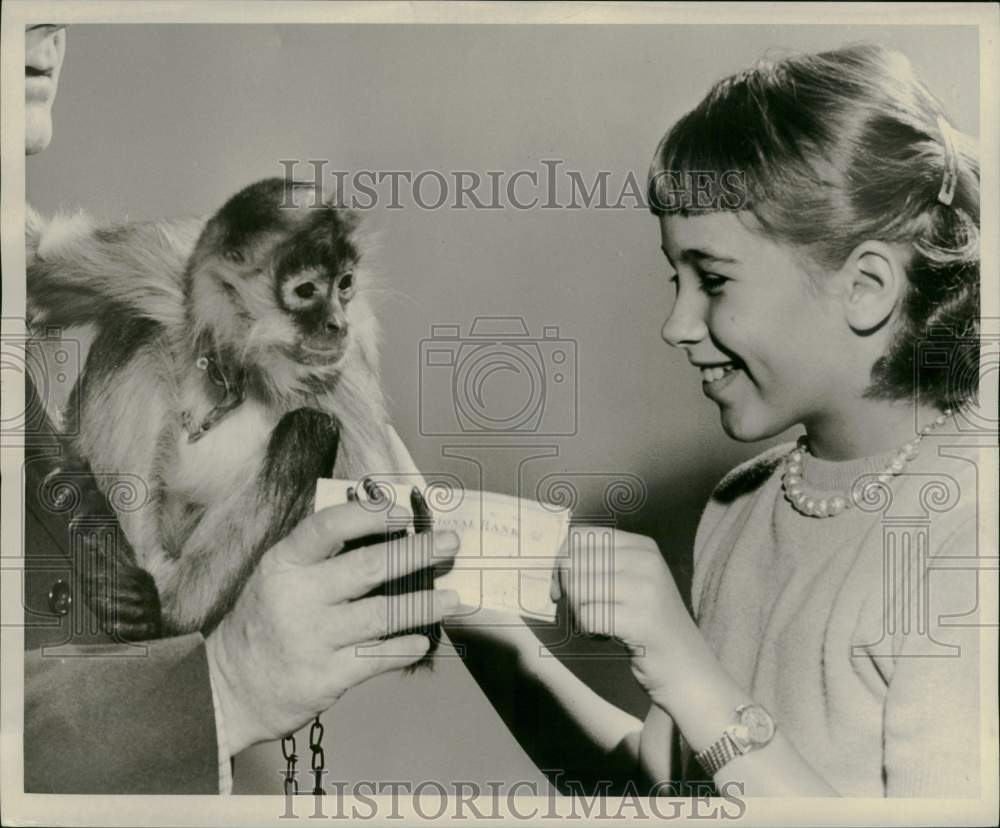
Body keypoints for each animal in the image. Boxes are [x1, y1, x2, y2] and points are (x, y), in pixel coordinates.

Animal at [24, 178, 434, 640]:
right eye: (306, 290)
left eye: (345, 284)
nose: (337, 323)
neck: (247, 362)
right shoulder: (162, 268)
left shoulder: (341, 376)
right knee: (141, 330)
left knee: (310, 429)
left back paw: (167, 609)